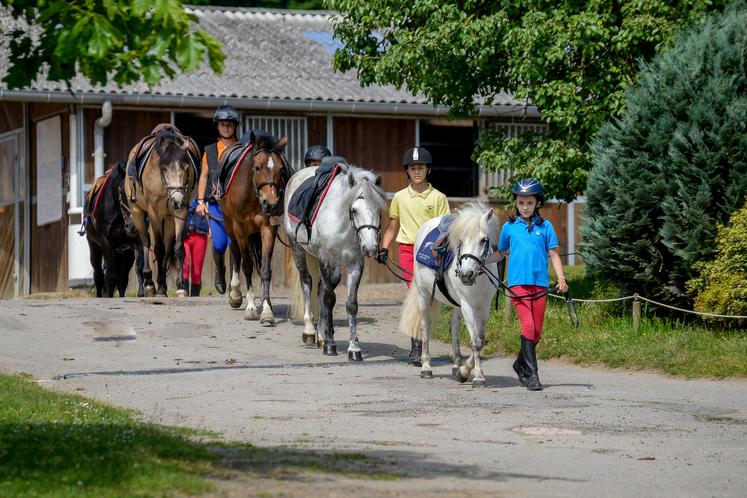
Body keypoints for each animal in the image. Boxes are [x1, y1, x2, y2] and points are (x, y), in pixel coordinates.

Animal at [83, 161, 142, 297]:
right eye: (123, 191)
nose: (133, 226)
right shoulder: (106, 243)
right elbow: (110, 276)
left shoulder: (135, 242)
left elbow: (138, 270)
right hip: (95, 247)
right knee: (99, 275)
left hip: (123, 252)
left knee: (122, 278)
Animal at [124, 125, 199, 297]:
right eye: (164, 169)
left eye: (186, 168)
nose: (177, 200)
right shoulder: (154, 213)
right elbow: (157, 249)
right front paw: (154, 287)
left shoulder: (180, 211)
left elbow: (178, 249)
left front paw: (180, 287)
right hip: (138, 212)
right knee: (145, 240)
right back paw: (149, 283)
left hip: (169, 217)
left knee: (166, 247)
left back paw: (162, 285)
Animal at [219, 130, 289, 324]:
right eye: (257, 167)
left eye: (281, 170)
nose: (270, 203)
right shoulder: (240, 229)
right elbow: (248, 266)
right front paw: (250, 307)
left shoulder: (268, 228)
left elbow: (265, 270)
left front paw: (266, 310)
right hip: (229, 225)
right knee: (235, 253)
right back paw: (235, 294)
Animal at [284, 161, 387, 360]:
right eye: (354, 210)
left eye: (379, 210)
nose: (370, 247)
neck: (343, 224)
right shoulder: (324, 258)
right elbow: (329, 299)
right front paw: (330, 346)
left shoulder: (356, 263)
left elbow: (351, 304)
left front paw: (354, 349)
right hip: (297, 248)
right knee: (307, 282)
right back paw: (310, 332)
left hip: (334, 266)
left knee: (321, 287)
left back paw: (321, 335)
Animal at [399, 203, 500, 386]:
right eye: (460, 240)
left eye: (483, 240)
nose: (466, 274)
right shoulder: (468, 305)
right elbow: (475, 342)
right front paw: (477, 377)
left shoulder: (484, 306)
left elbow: (481, 340)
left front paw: (464, 371)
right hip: (424, 296)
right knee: (425, 327)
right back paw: (426, 368)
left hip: (457, 304)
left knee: (454, 327)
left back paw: (456, 365)